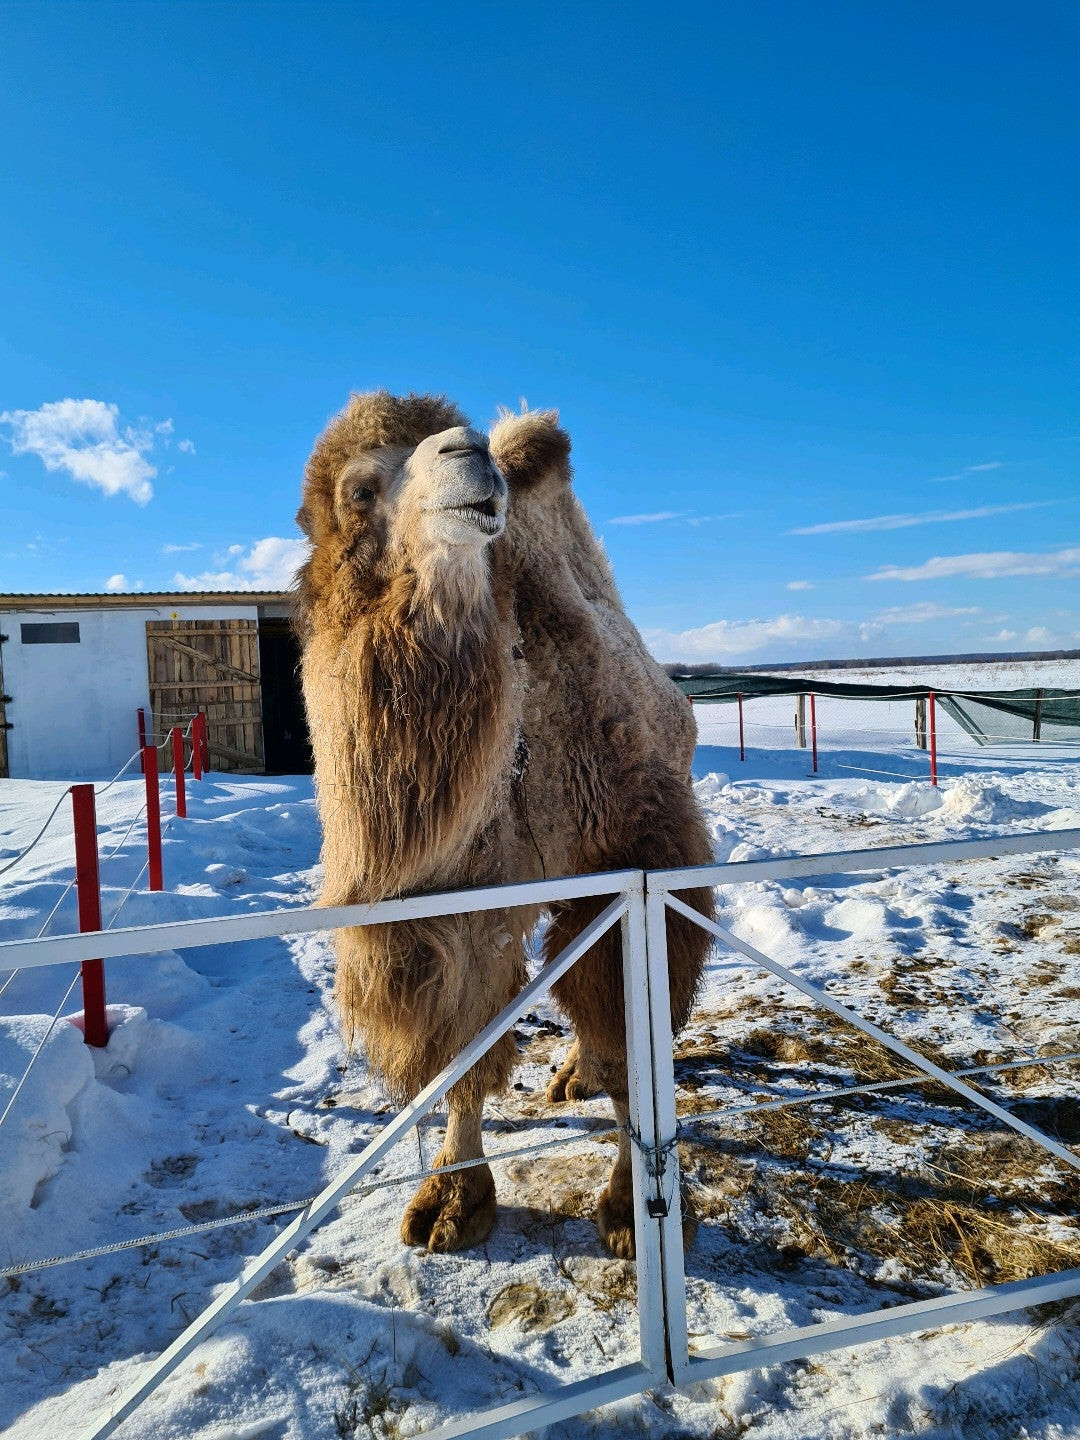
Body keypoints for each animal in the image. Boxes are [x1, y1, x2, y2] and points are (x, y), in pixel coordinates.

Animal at [296, 394, 720, 1261]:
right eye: (360, 489)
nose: (472, 453)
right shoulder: (453, 904)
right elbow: (462, 1054)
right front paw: (452, 1200)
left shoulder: (635, 852)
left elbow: (632, 1032)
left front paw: (631, 1208)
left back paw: (582, 1073)